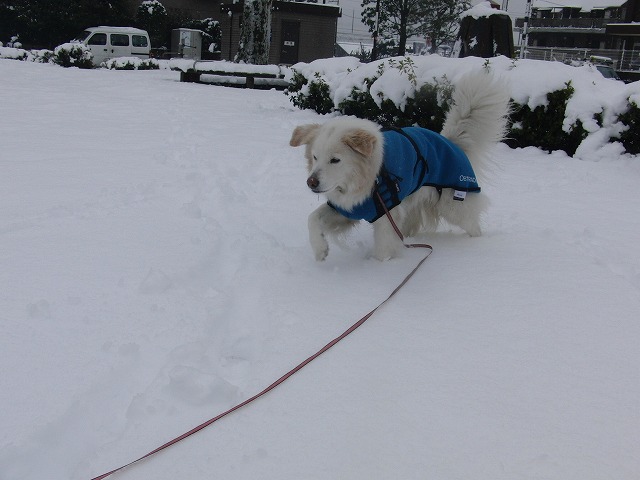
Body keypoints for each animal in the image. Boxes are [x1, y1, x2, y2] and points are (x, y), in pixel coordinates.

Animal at [290, 69, 510, 260]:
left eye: (335, 160)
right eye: (315, 157)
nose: (311, 182)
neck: (370, 178)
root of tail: (451, 142)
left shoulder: (385, 216)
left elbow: (383, 252)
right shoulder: (348, 210)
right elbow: (313, 218)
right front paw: (320, 250)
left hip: (454, 205)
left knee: (473, 226)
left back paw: (475, 247)